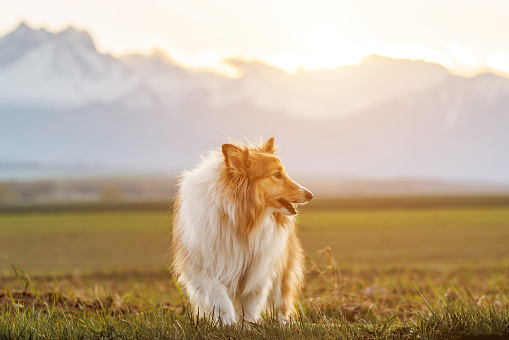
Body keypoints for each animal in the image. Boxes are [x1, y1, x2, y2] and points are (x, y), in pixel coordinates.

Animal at [170, 137, 310, 326]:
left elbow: (250, 306)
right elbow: (220, 298)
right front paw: (228, 323)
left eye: (284, 173)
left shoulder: (259, 271)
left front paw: (246, 327)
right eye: (276, 175)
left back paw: (284, 324)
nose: (310, 194)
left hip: (281, 272)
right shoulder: (203, 267)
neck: (242, 221)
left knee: (281, 303)